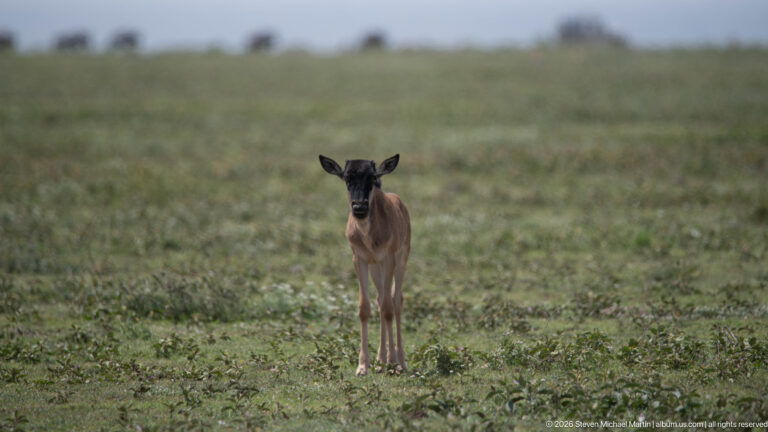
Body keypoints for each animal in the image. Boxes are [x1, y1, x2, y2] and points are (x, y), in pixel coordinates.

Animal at [319, 154, 411, 375]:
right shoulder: (359, 260)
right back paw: (380, 360)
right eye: (346, 177)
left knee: (395, 300)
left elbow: (388, 307)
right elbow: (365, 307)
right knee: (380, 299)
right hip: (376, 267)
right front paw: (362, 366)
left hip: (400, 261)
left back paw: (399, 362)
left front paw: (393, 362)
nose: (359, 208)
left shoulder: (388, 258)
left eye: (372, 177)